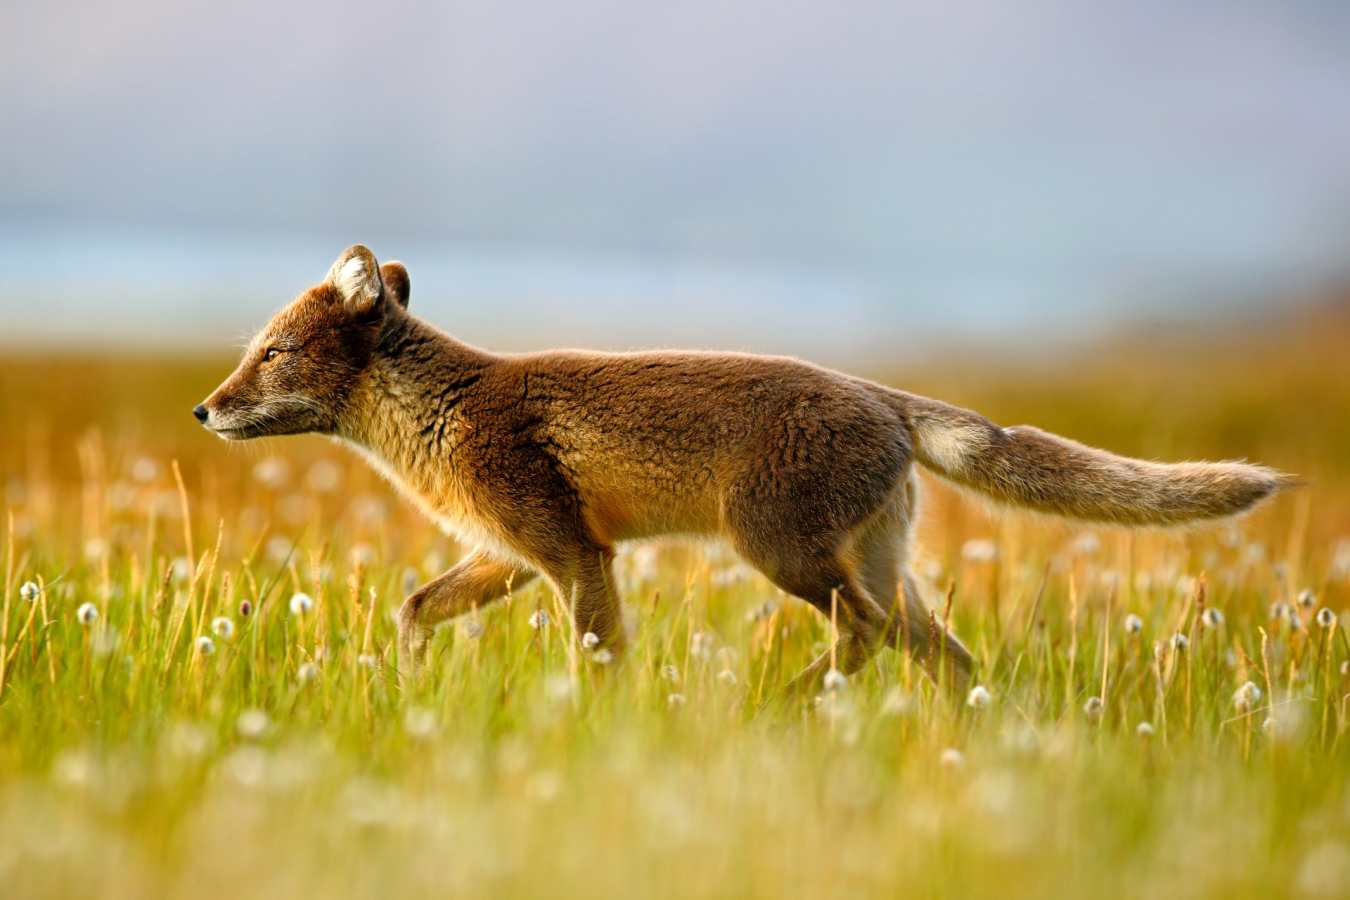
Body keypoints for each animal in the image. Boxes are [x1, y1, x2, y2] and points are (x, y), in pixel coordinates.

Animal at [195, 244, 1291, 690]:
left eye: (273, 354)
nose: (204, 409)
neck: (443, 414)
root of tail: (886, 397)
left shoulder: (573, 556)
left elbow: (600, 659)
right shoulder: (515, 553)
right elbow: (415, 609)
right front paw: (411, 685)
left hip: (780, 553)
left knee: (867, 637)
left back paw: (785, 704)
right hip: (877, 568)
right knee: (948, 657)